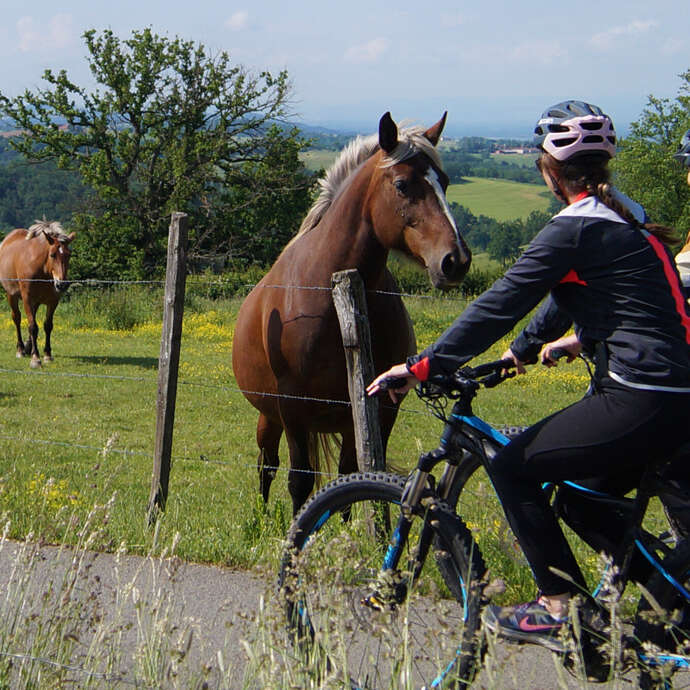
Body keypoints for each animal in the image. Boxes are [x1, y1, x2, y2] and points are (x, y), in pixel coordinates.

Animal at [0, 222, 75, 368]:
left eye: (69, 255)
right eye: (52, 255)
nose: (62, 284)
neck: (42, 270)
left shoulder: (53, 301)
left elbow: (47, 326)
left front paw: (47, 355)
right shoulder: (27, 299)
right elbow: (33, 327)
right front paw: (36, 358)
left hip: (36, 302)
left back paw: (28, 347)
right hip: (11, 296)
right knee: (17, 318)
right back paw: (21, 349)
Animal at [231, 111, 468, 510]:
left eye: (446, 182)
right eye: (402, 184)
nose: (456, 260)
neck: (327, 294)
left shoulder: (381, 408)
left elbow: (359, 478)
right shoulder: (293, 408)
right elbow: (299, 481)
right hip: (270, 415)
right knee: (267, 465)